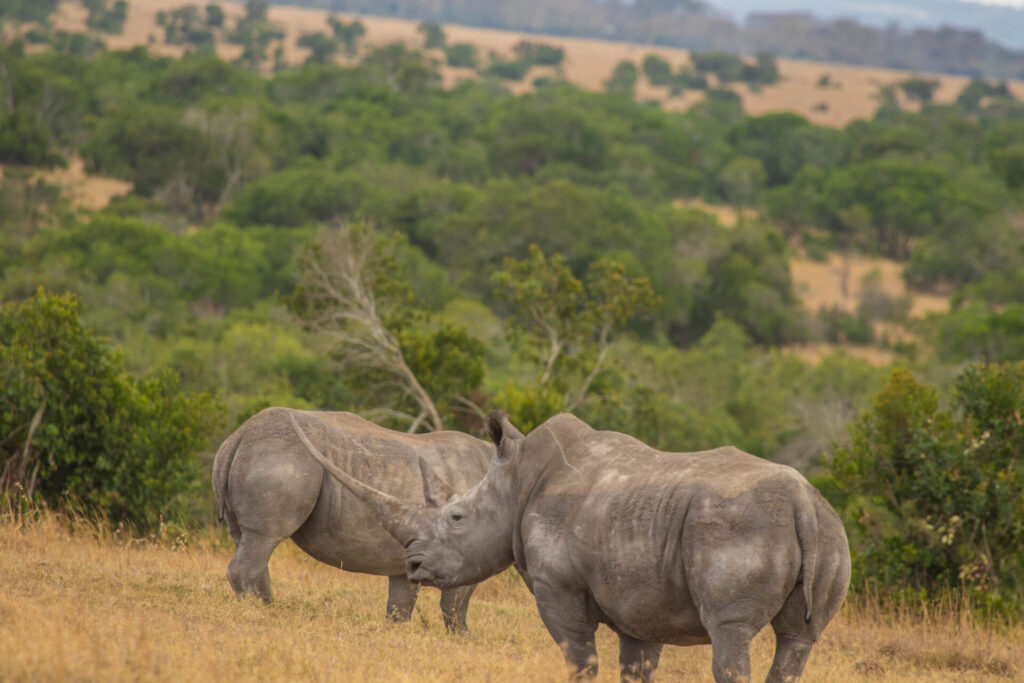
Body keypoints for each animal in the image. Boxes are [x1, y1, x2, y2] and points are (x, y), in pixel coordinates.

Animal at [212, 406, 492, 632]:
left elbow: (401, 605)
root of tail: (238, 436)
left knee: (248, 541)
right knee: (264, 537)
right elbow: (456, 604)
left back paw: (266, 607)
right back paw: (263, 613)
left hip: (264, 456)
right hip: (282, 458)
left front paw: (396, 635)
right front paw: (464, 639)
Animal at [289, 410, 851, 682]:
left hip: (737, 527)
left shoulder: (558, 587)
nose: (413, 563)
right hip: (831, 533)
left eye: (456, 517)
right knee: (798, 642)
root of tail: (804, 504)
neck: (519, 483)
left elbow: (578, 657)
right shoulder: (641, 602)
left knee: (729, 634)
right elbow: (636, 666)